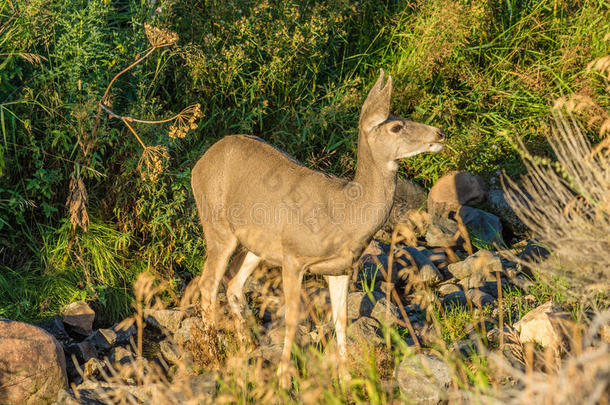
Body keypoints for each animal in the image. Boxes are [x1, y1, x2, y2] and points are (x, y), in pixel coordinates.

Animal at [190, 69, 442, 386]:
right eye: (396, 126)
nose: (439, 133)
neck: (345, 212)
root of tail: (198, 164)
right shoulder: (294, 257)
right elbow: (292, 316)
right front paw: (284, 379)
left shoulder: (341, 267)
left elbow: (341, 319)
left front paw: (345, 378)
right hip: (217, 225)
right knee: (208, 283)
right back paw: (214, 355)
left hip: (257, 243)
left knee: (233, 281)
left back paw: (247, 347)